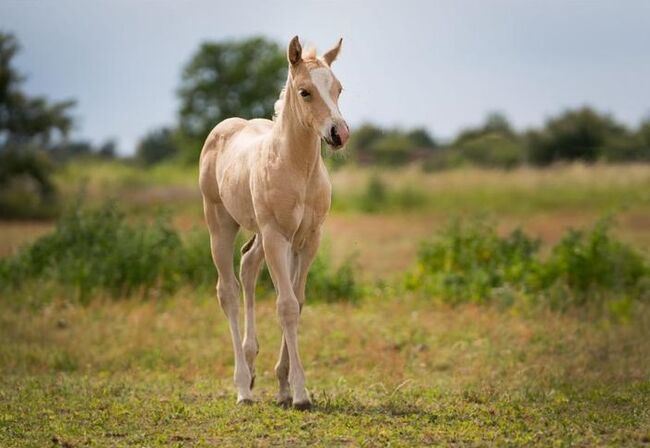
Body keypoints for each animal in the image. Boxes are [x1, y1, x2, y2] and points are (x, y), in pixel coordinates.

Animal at [199, 36, 346, 410]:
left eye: (338, 89)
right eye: (305, 91)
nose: (339, 133)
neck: (297, 168)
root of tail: (225, 126)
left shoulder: (308, 238)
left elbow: (297, 300)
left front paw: (283, 386)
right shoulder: (277, 236)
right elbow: (286, 305)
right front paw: (300, 393)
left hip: (262, 235)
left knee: (249, 263)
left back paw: (252, 368)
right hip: (221, 223)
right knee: (228, 291)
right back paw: (242, 386)